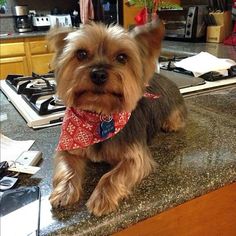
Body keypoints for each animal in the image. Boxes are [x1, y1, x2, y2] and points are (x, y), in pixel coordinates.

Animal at [48, 19, 187, 217]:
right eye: (81, 54)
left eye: (122, 57)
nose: (98, 74)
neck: (98, 115)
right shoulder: (69, 147)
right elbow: (67, 167)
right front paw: (63, 193)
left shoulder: (136, 157)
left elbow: (111, 176)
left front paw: (101, 198)